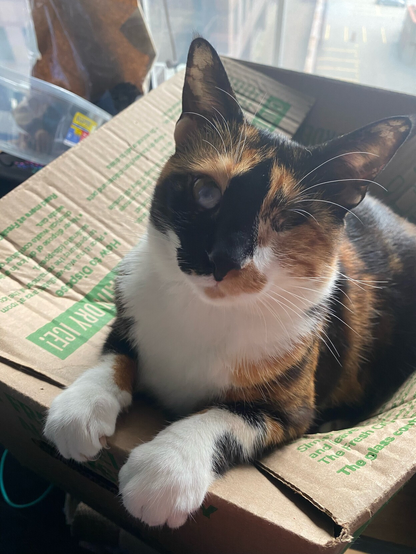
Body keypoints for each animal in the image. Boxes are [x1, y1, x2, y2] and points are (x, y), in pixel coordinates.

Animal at [44, 37, 416, 528]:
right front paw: (81, 408)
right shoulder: (130, 304)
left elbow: (227, 417)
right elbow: (116, 352)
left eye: (288, 220)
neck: (205, 314)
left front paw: (166, 471)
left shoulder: (291, 408)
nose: (224, 258)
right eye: (206, 192)